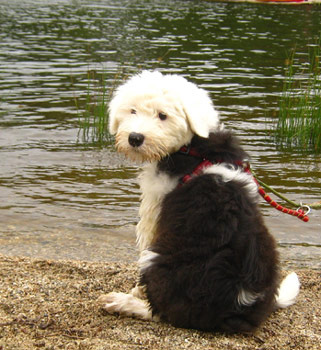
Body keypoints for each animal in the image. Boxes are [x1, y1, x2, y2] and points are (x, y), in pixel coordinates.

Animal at [98, 69, 300, 332]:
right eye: (132, 110)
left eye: (163, 115)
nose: (135, 138)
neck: (191, 147)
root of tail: (242, 305)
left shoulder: (153, 209)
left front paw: (136, 292)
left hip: (158, 259)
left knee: (164, 312)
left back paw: (123, 303)